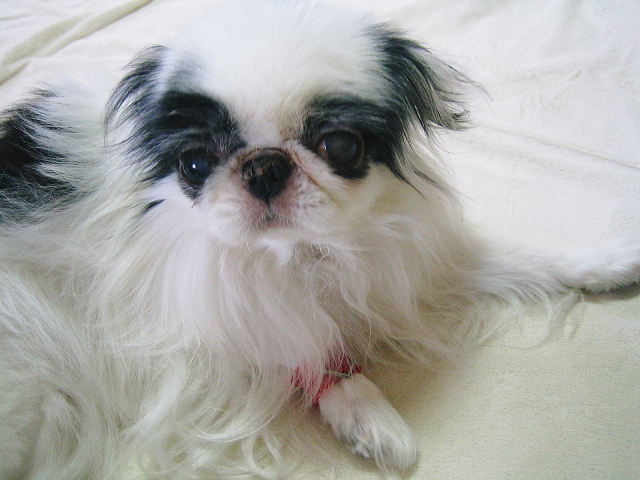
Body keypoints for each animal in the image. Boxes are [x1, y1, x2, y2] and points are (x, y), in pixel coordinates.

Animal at [1, 1, 639, 478]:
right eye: (195, 163)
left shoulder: (409, 262)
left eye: (340, 145)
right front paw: (370, 417)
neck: (301, 254)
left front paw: (605, 262)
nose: (264, 166)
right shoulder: (220, 310)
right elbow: (307, 346)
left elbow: (525, 257)